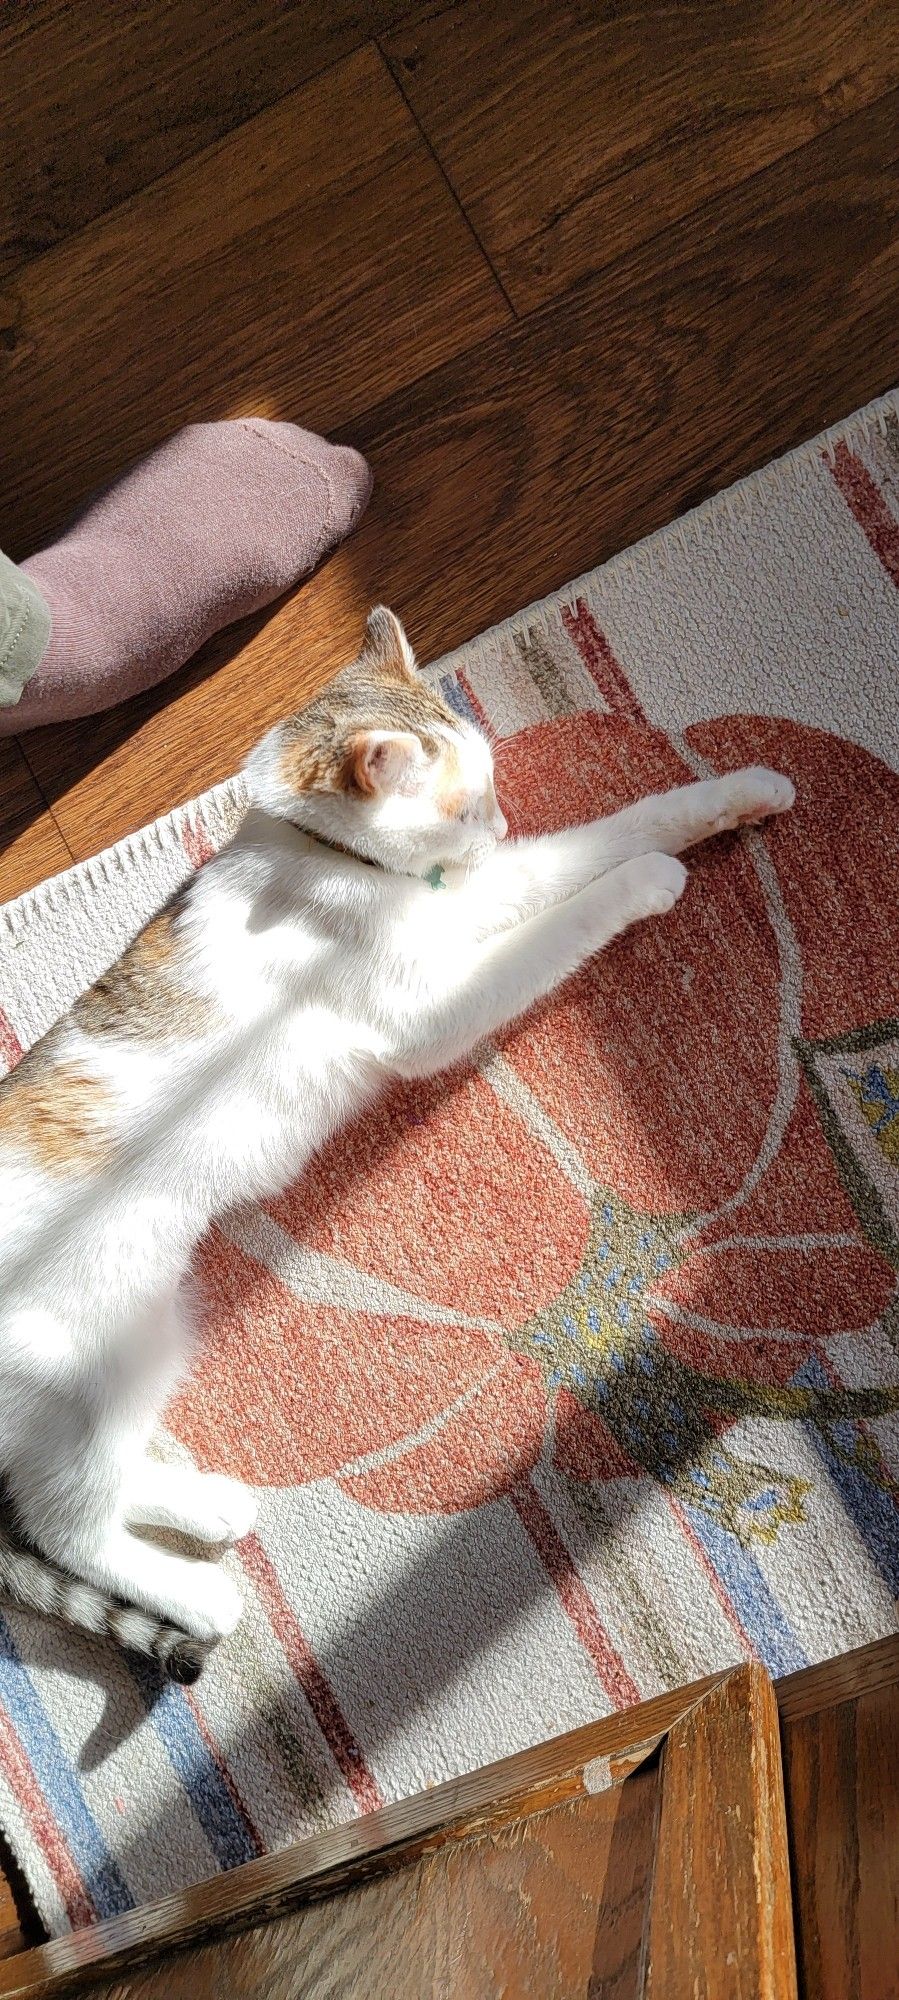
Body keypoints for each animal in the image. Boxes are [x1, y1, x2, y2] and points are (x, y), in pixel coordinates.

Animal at [0, 608, 795, 1672]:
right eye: (466, 805)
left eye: (494, 791)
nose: (494, 828)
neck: (327, 860)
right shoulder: (433, 1014)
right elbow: (570, 912)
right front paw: (647, 881)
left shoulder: (472, 897)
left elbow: (600, 836)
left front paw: (735, 796)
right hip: (83, 1367)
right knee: (63, 1525)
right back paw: (198, 1596)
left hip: (144, 1338)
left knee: (92, 1482)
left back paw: (210, 1508)